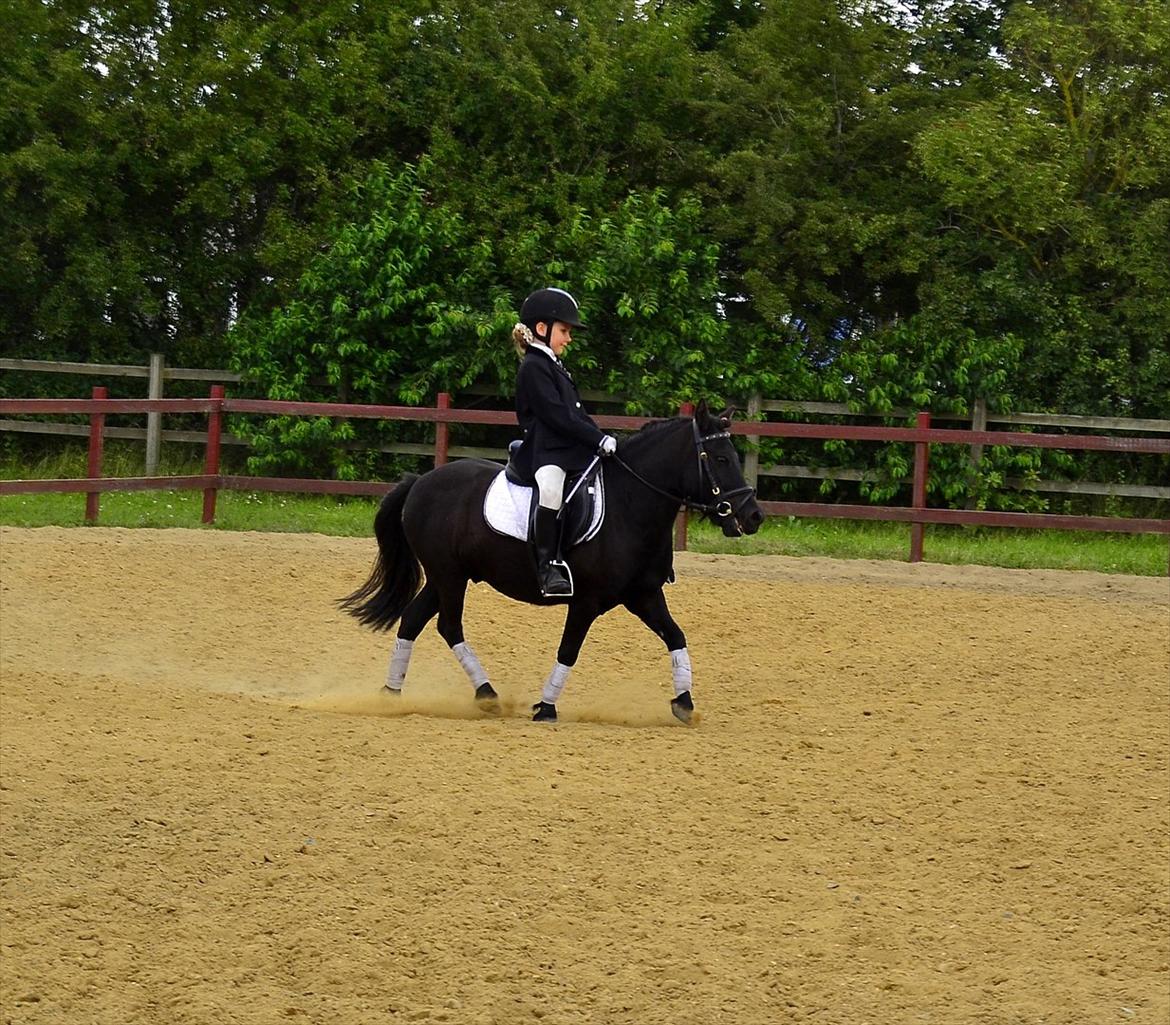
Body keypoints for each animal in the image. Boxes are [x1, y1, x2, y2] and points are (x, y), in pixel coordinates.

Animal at [339, 401, 764, 723]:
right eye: (721, 458)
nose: (753, 516)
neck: (630, 504)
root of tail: (421, 482)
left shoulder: (643, 595)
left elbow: (675, 636)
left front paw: (684, 703)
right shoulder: (586, 601)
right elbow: (569, 649)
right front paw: (545, 707)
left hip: (447, 577)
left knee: (414, 619)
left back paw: (393, 694)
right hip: (449, 576)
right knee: (448, 625)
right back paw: (486, 695)